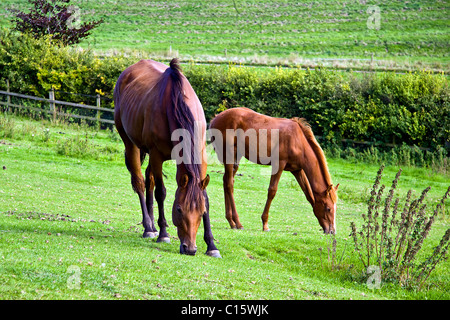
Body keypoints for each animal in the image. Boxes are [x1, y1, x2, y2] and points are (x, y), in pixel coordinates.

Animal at [113, 58, 221, 258]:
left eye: (200, 211)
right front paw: (163, 234)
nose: (190, 248)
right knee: (140, 182)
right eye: (179, 209)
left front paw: (211, 245)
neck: (176, 106)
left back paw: (151, 225)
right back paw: (149, 228)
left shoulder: (200, 155)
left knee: (149, 180)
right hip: (131, 144)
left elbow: (205, 197)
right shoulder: (157, 155)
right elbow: (161, 193)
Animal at [209, 107, 340, 235]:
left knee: (226, 181)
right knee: (229, 184)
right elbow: (272, 191)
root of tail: (216, 118)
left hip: (236, 158)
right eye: (328, 208)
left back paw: (231, 221)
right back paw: (238, 222)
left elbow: (308, 194)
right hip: (230, 156)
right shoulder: (279, 165)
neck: (298, 141)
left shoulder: (298, 170)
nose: (332, 231)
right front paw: (265, 224)